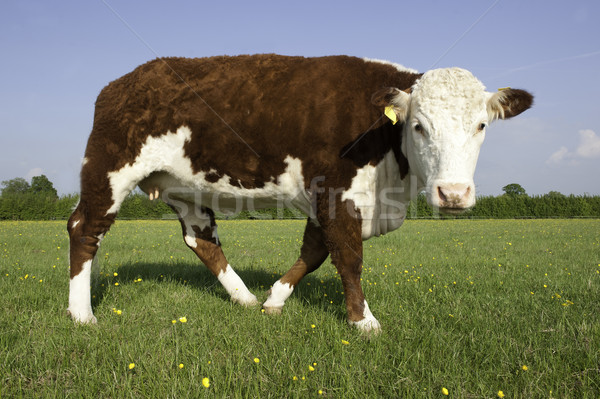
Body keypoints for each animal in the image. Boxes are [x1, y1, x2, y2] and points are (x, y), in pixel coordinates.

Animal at [68, 54, 532, 332]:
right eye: (418, 126)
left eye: (481, 125)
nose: (453, 194)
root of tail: (125, 81)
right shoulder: (338, 191)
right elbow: (347, 257)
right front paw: (364, 322)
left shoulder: (324, 197)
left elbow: (315, 251)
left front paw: (274, 299)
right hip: (108, 169)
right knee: (84, 229)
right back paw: (81, 314)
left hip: (185, 187)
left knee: (201, 241)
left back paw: (244, 299)